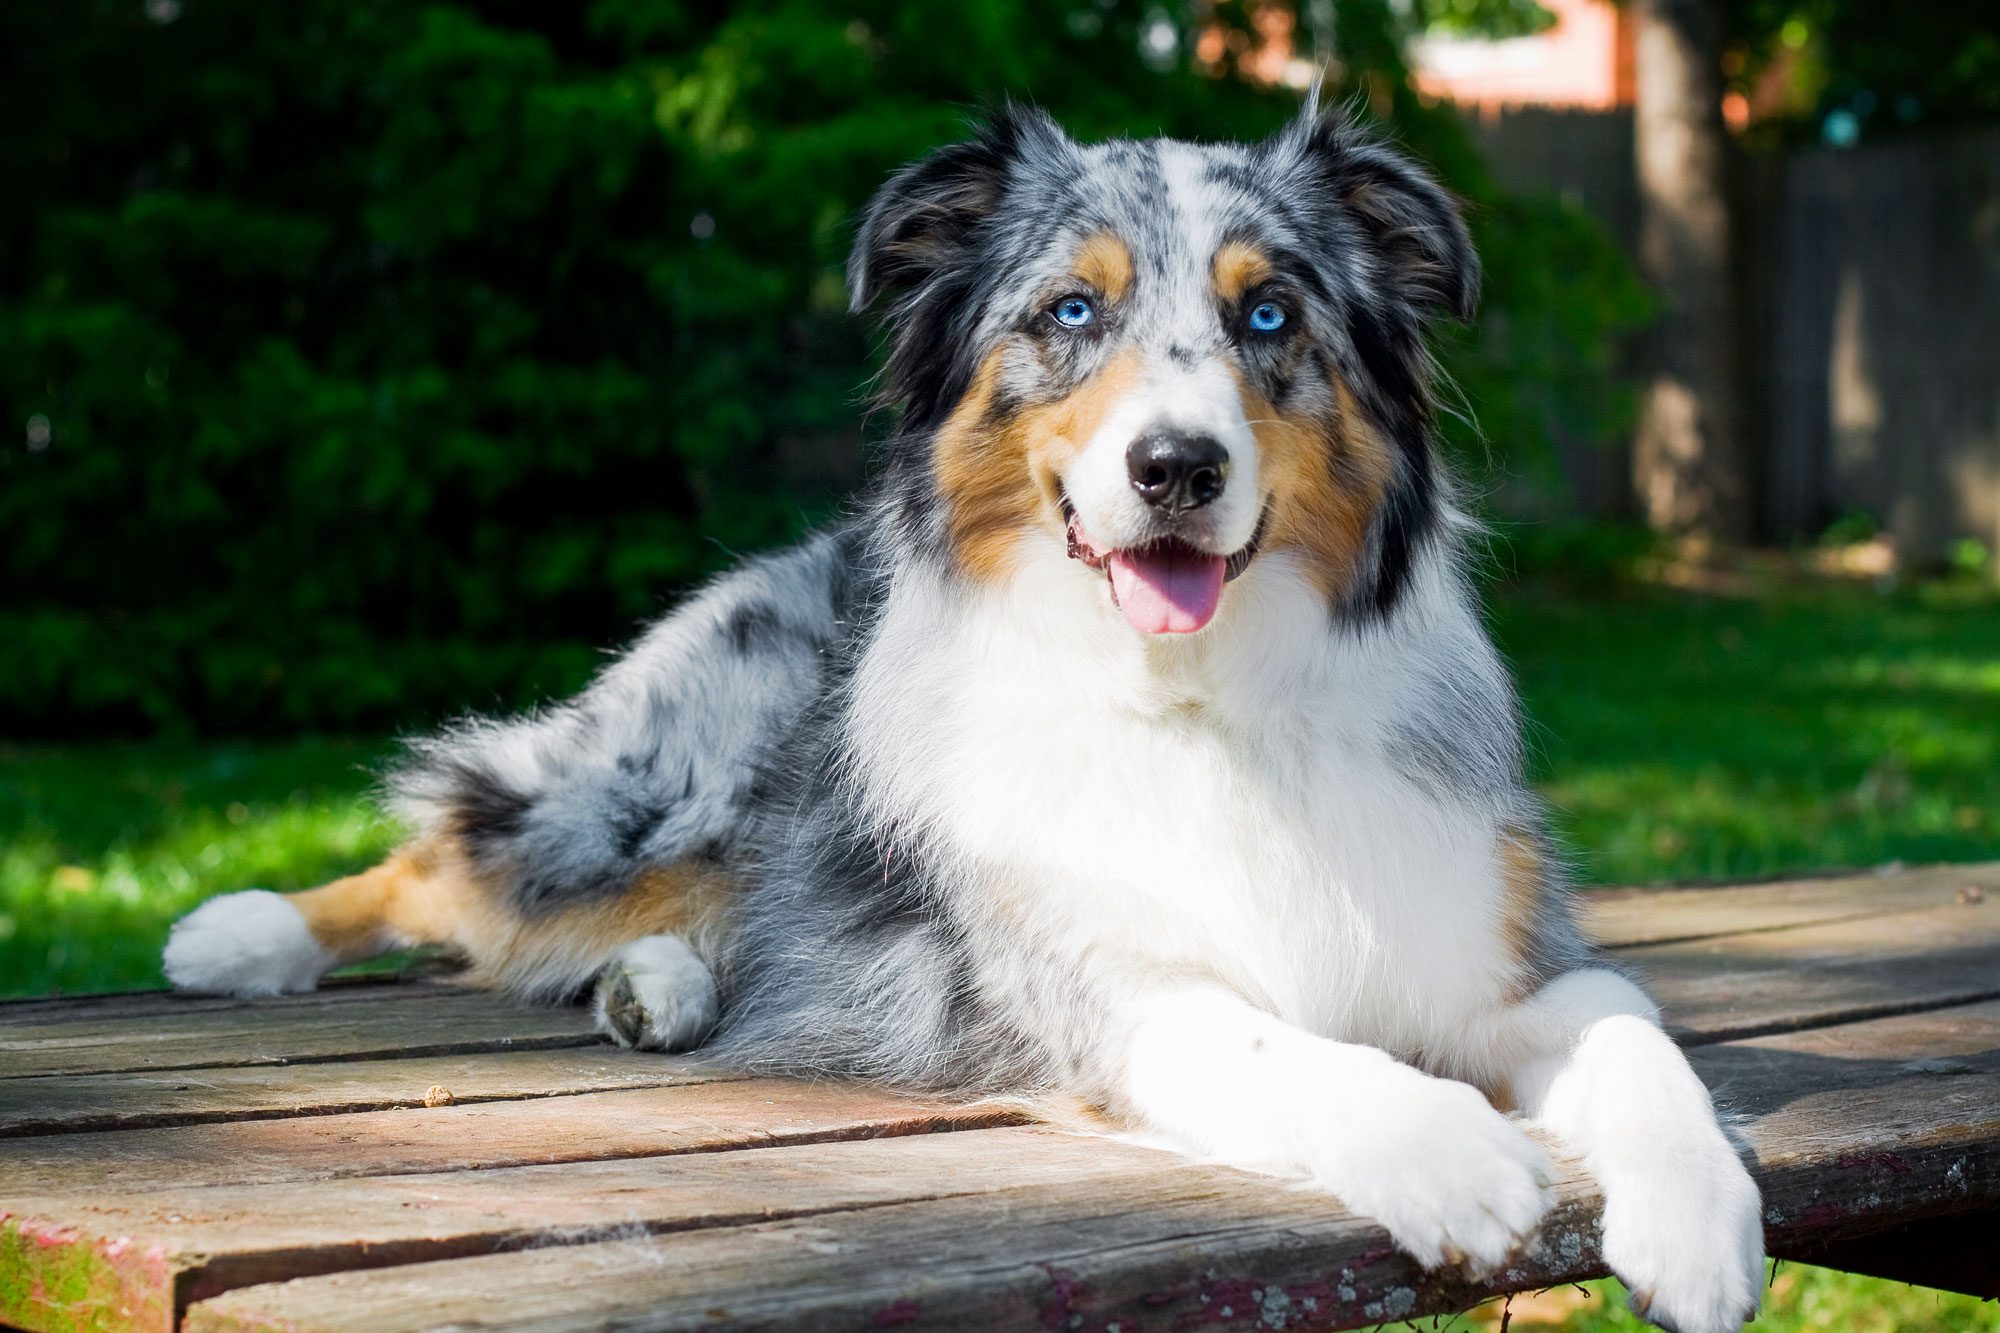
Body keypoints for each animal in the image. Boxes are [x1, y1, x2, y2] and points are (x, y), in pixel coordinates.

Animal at [168, 98, 1768, 1320]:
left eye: (1270, 312)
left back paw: (661, 987)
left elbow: (1634, 1030)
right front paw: (1456, 1152)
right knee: (453, 851)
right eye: (1070, 310)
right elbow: (1287, 1048)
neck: (1200, 703)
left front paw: (1700, 1227)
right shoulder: (1103, 998)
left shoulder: (1501, 963)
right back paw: (242, 933)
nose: (1175, 465)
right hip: (648, 794)